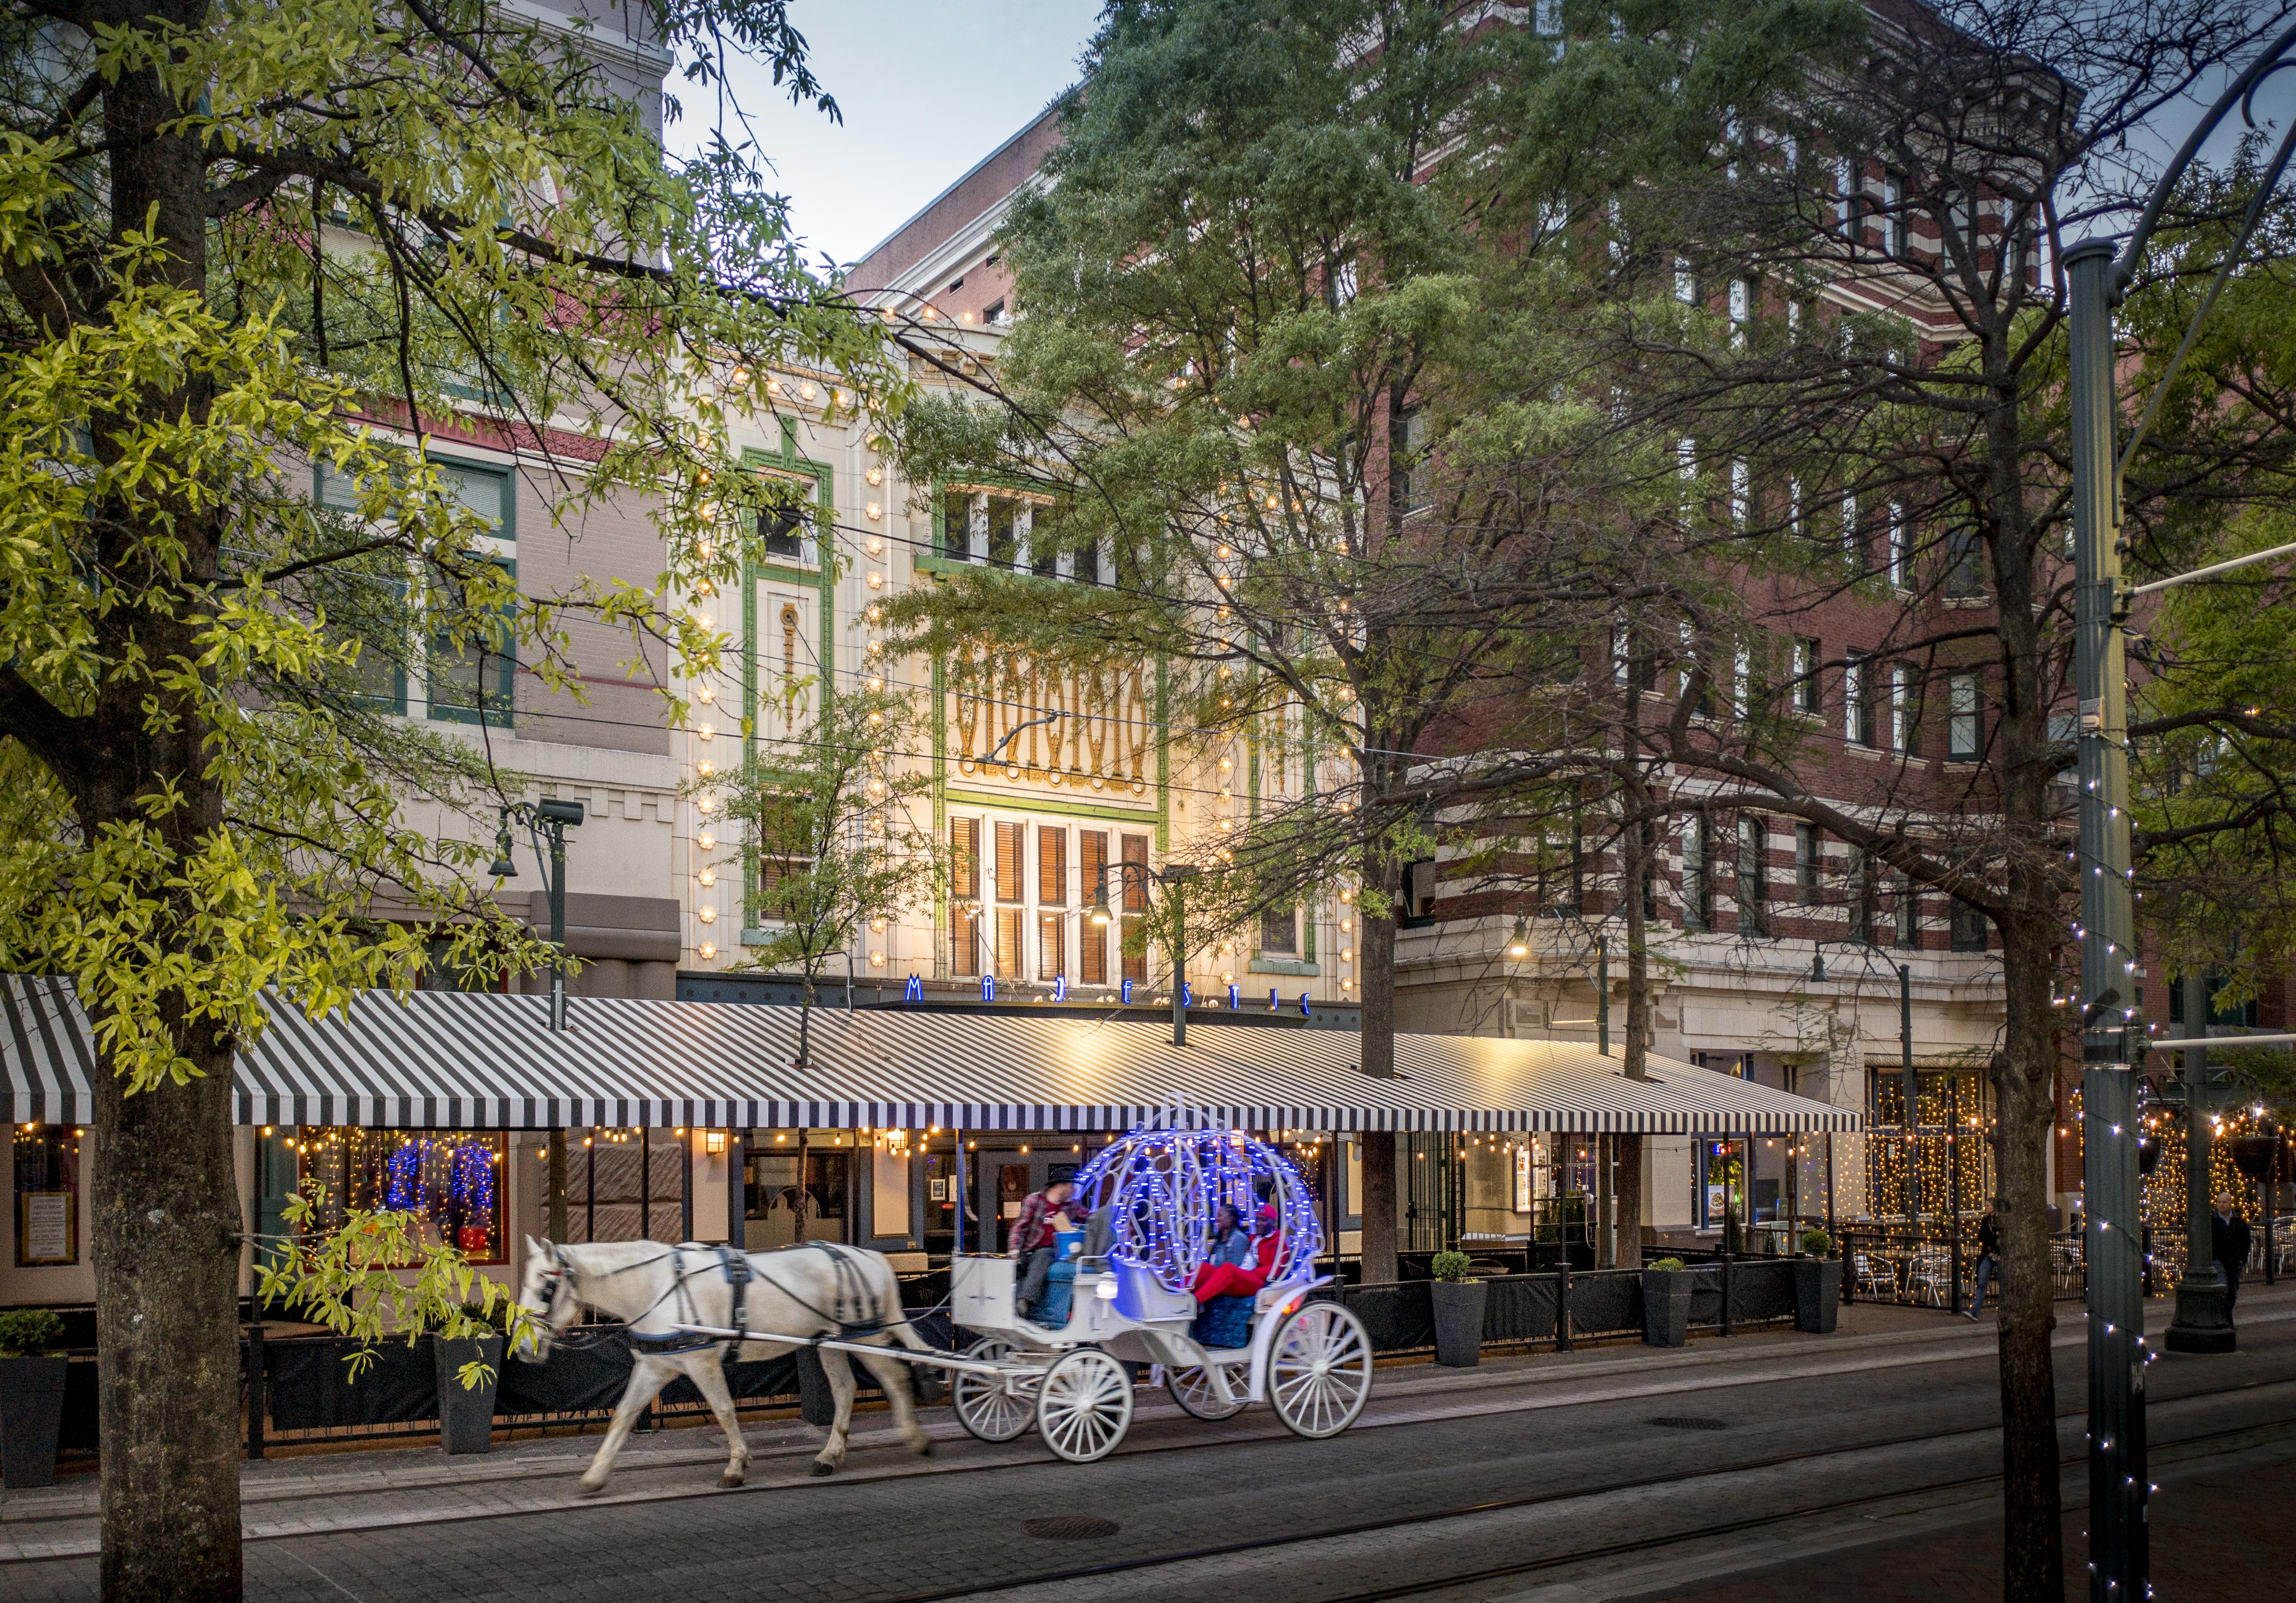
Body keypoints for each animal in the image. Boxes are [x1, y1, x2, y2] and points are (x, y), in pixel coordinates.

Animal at [521, 1240, 941, 1488]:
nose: (524, 1348)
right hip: (831, 1341)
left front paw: (736, 1465)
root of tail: (873, 1258)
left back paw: (915, 1437)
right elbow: (623, 1414)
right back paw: (829, 1456)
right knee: (844, 1390)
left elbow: (724, 1411)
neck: (656, 1286)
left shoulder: (702, 1362)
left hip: (865, 1337)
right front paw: (595, 1474)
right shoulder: (655, 1367)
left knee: (896, 1377)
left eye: (545, 1285)